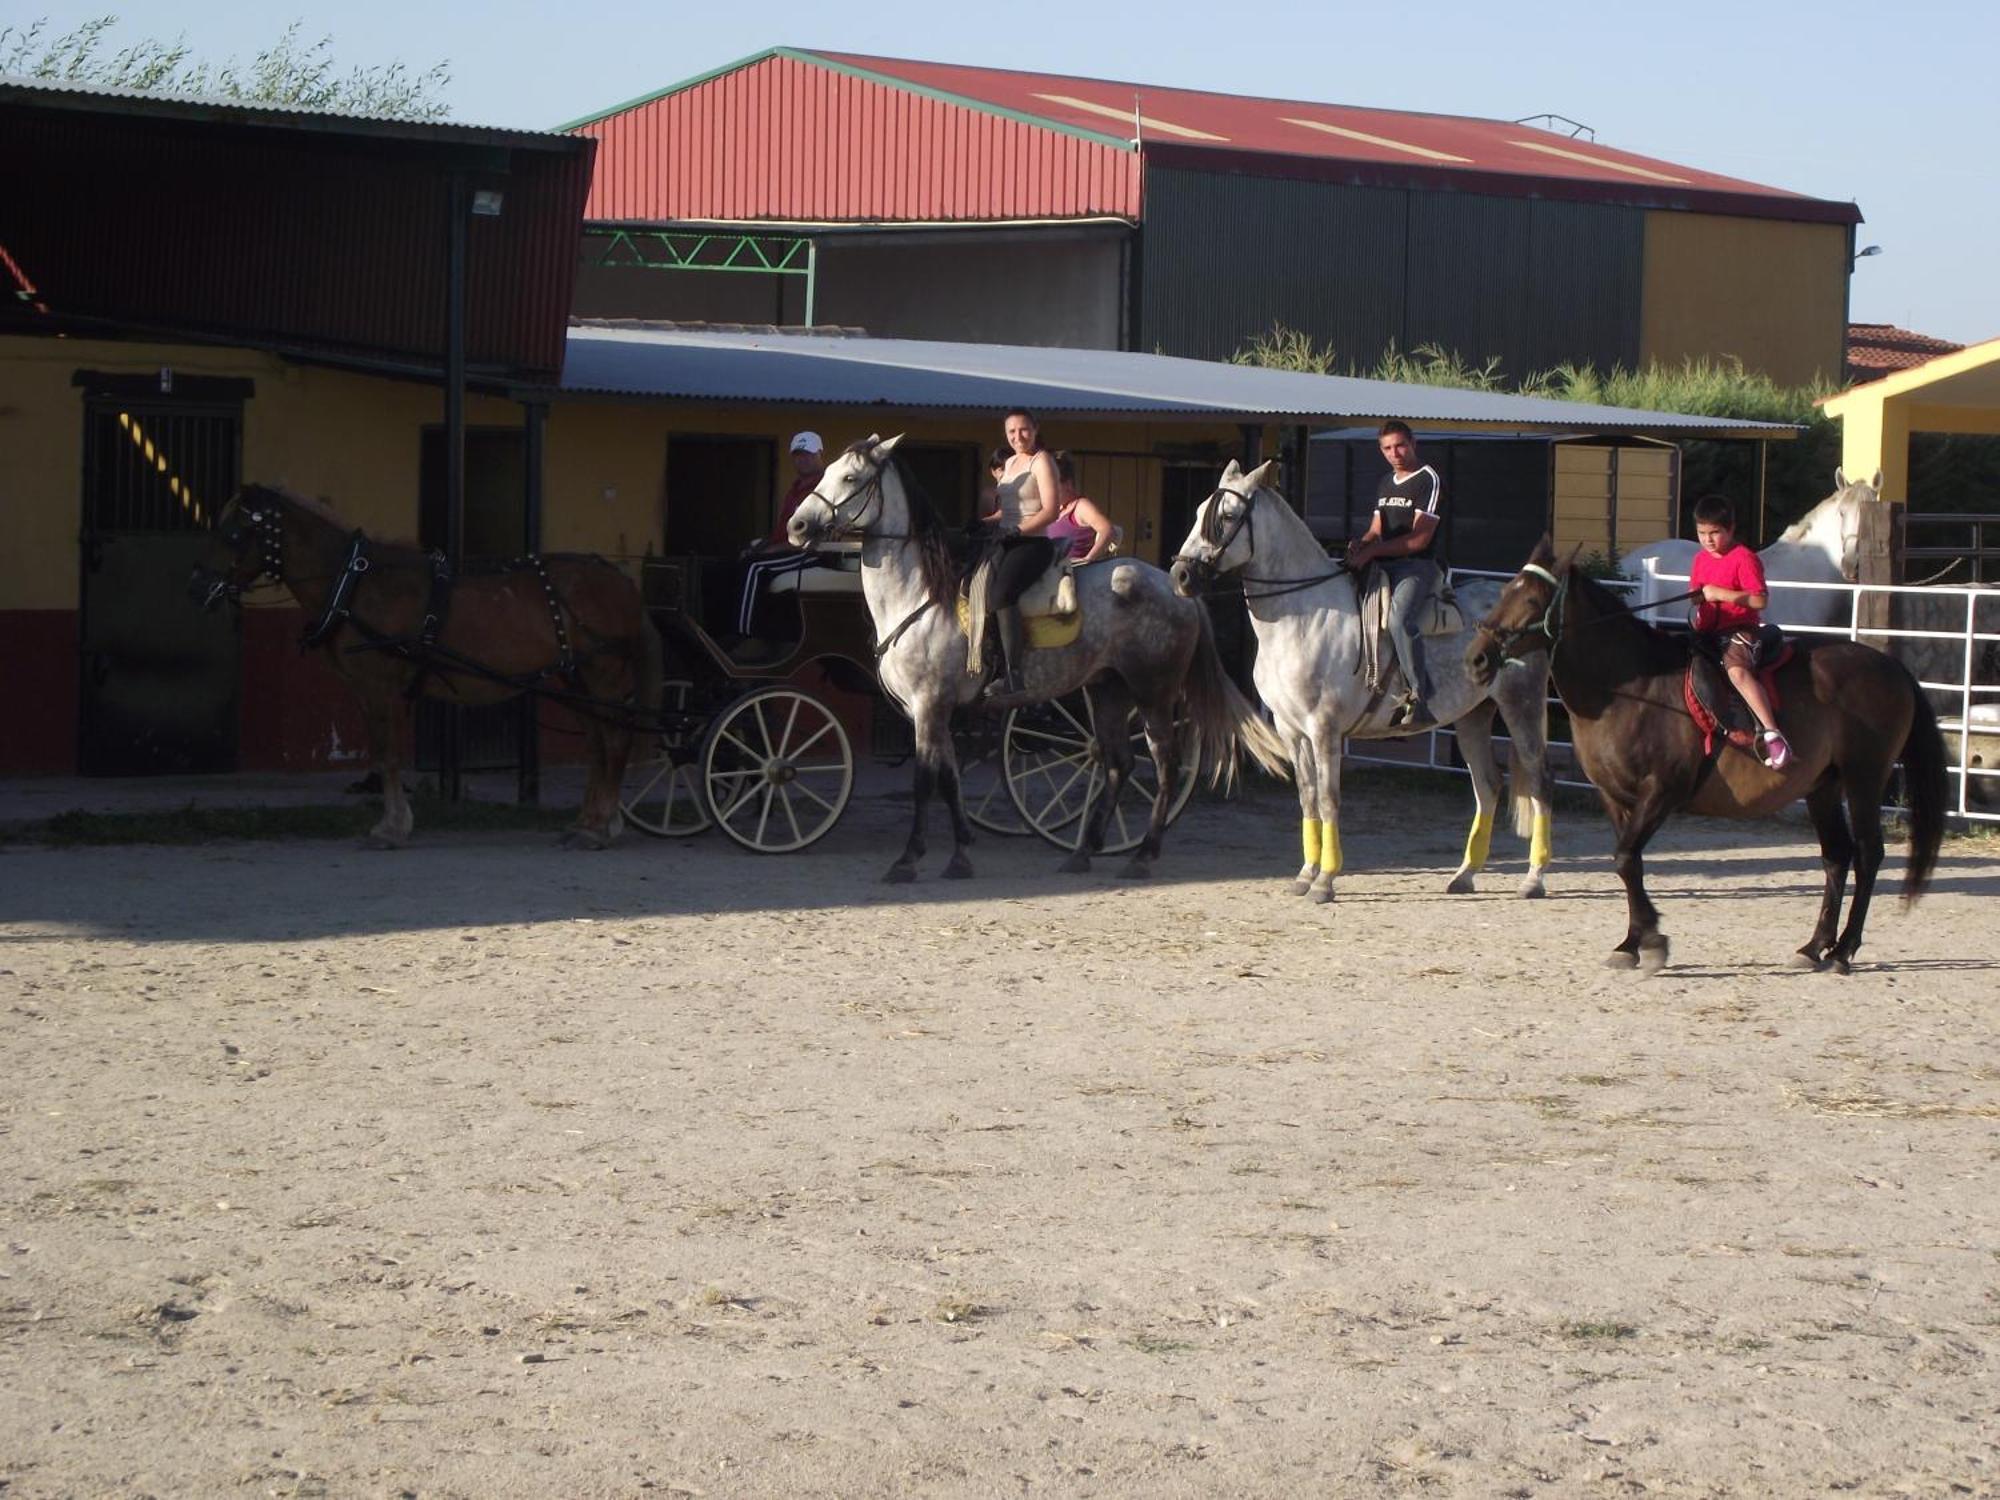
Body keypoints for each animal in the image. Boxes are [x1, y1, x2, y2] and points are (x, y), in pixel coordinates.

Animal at [193, 488, 656, 852]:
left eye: (233, 533)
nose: (199, 586)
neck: (356, 587)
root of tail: (621, 579)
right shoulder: (364, 690)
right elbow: (382, 755)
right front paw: (394, 823)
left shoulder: (379, 687)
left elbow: (388, 755)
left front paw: (391, 828)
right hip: (573, 679)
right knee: (598, 746)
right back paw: (589, 822)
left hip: (603, 675)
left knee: (615, 741)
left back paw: (600, 828)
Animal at [788, 434, 1288, 880]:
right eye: (827, 471)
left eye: (849, 477)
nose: (797, 527)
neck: (923, 593)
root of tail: (1176, 586)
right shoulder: (936, 709)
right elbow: (948, 780)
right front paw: (960, 854)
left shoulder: (928, 705)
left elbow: (924, 781)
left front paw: (909, 859)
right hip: (1108, 692)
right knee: (1119, 763)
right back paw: (1084, 852)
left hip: (1153, 694)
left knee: (1164, 764)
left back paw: (1142, 855)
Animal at [1168, 458, 1560, 904]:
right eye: (1200, 511)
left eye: (1228, 517)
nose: (1180, 575)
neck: (1304, 617)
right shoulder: (1291, 730)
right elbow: (1307, 798)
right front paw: (1305, 875)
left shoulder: (1324, 730)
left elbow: (1328, 799)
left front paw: (1325, 881)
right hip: (1473, 716)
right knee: (1488, 786)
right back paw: (1464, 875)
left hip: (1521, 706)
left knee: (1540, 781)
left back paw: (1533, 879)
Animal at [1464, 540, 1944, 976]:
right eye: (1505, 591)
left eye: (1530, 599)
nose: (1477, 658)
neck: (1632, 688)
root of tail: (1891, 666)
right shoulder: (1615, 797)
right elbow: (1628, 864)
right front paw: (1632, 943)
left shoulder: (1662, 791)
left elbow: (1625, 858)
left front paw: (1652, 941)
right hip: (1822, 787)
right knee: (1836, 856)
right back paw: (1814, 948)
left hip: (1864, 778)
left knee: (1867, 854)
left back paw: (1844, 951)